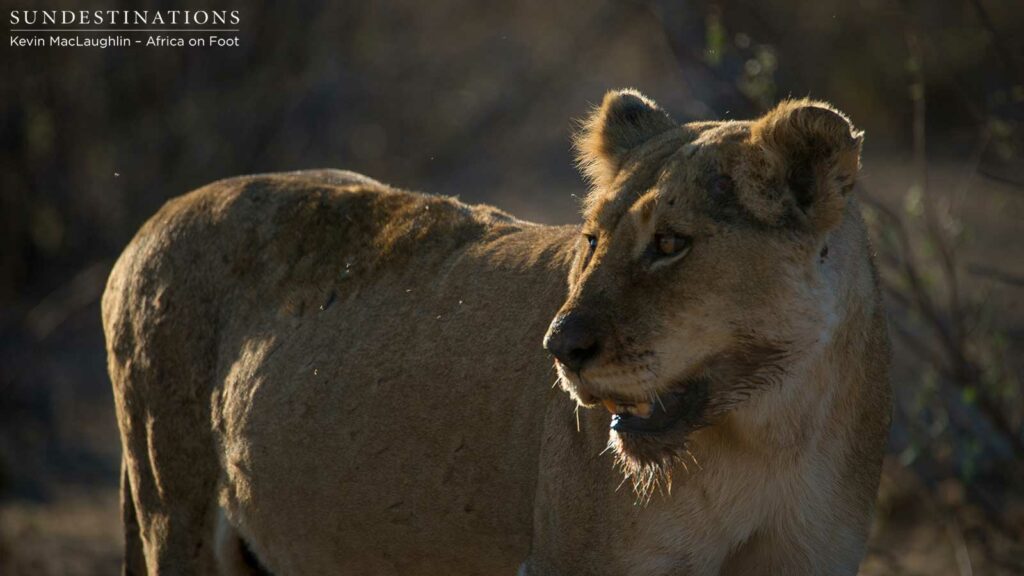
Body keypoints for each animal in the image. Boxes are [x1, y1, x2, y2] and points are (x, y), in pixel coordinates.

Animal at [103, 89, 891, 576]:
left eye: (670, 244)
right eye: (592, 239)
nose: (559, 348)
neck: (769, 433)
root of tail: (154, 220)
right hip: (169, 508)